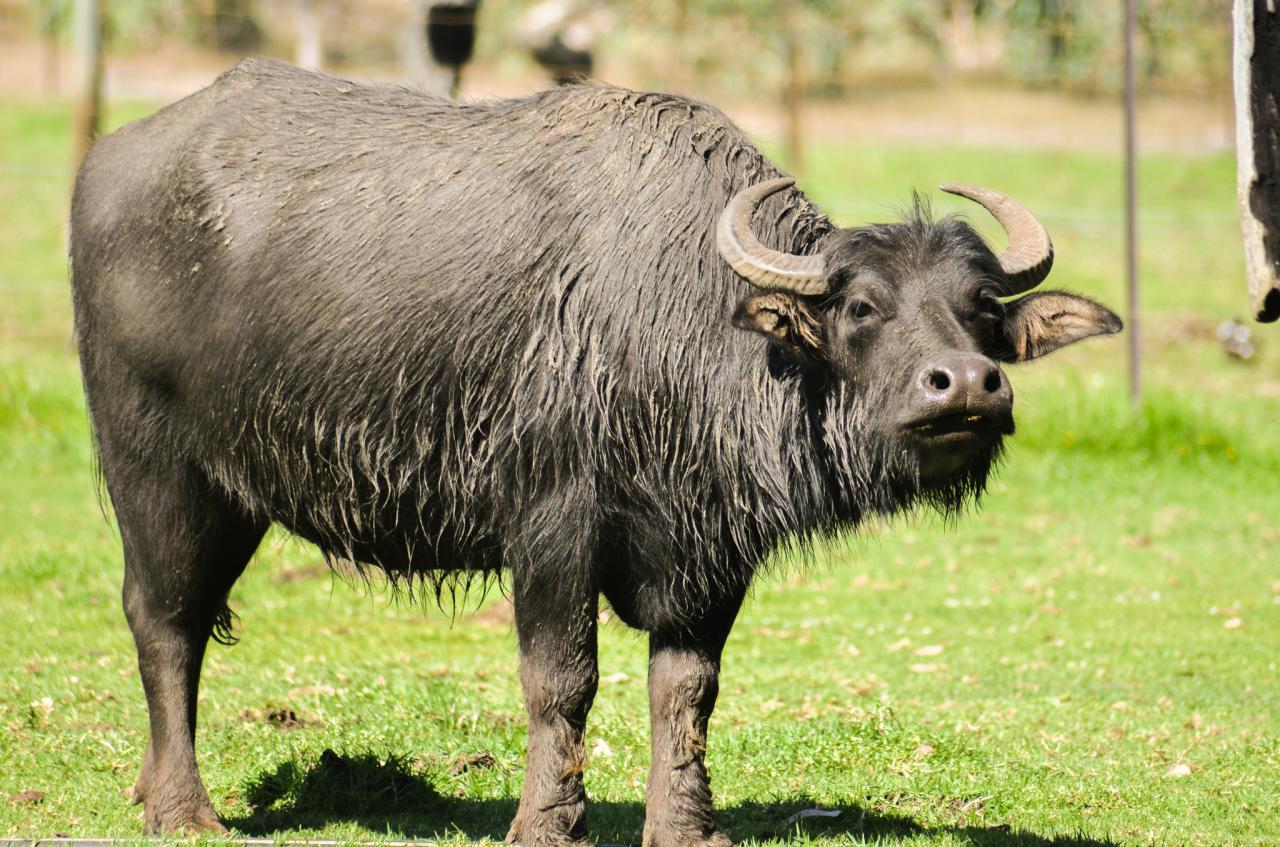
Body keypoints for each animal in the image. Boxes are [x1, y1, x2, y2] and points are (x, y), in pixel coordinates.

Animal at [69, 59, 1121, 843]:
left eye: (980, 308)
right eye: (862, 306)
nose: (967, 385)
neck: (685, 329)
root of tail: (110, 161)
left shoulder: (711, 552)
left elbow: (686, 689)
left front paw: (686, 826)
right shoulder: (550, 530)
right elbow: (561, 682)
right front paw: (548, 821)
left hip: (233, 494)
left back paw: (150, 787)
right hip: (157, 470)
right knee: (163, 621)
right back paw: (183, 809)